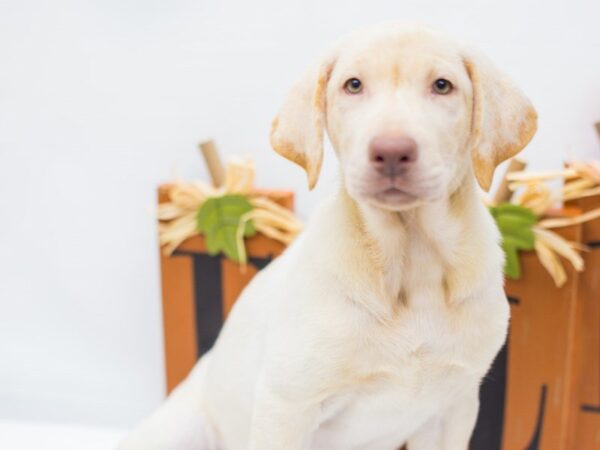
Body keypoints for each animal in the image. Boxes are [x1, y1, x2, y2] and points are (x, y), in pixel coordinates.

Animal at [120, 23, 536, 450]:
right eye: (353, 85)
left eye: (442, 85)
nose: (391, 152)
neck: (411, 261)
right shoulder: (287, 405)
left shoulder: (453, 409)